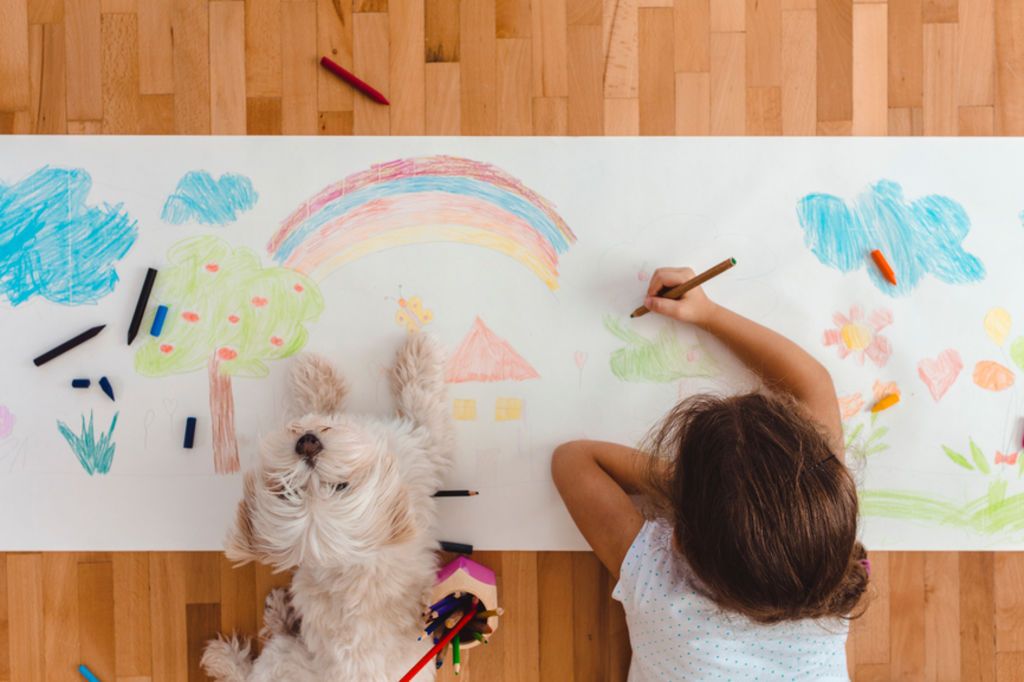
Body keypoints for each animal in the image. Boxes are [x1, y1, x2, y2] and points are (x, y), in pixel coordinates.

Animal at [201, 333, 454, 679]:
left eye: (339, 487)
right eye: (291, 490)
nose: (307, 444)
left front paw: (313, 379)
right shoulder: (423, 439)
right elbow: (420, 395)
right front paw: (420, 351)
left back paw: (279, 613)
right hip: (282, 657)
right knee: (251, 666)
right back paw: (237, 647)